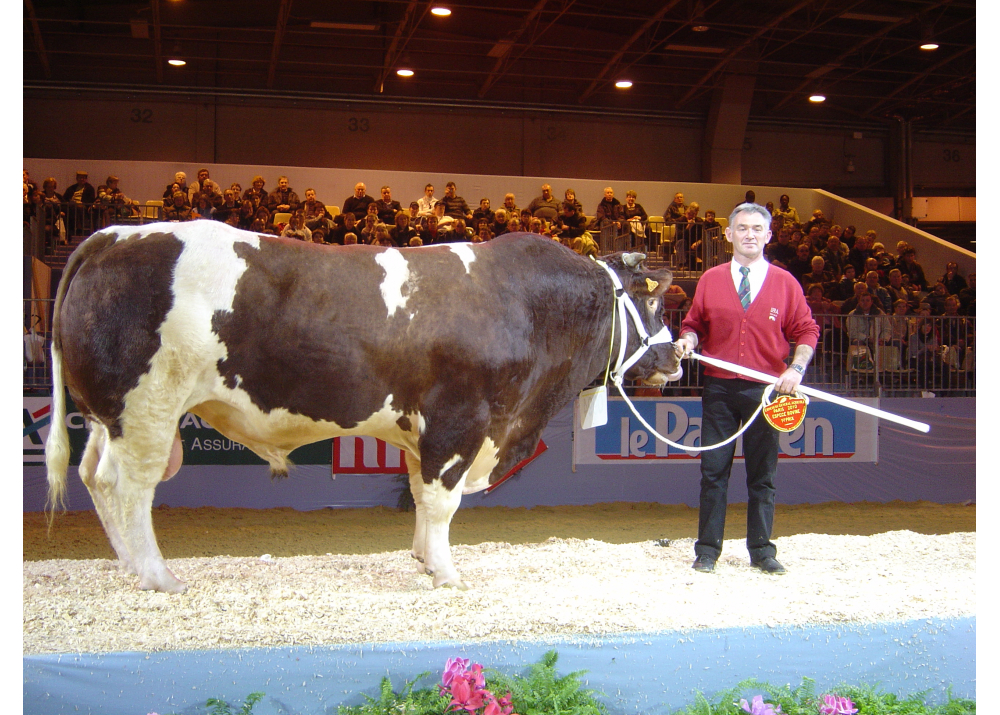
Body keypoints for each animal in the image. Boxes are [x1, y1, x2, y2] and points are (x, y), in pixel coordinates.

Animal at [48, 224, 688, 592]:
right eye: (657, 306)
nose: (679, 355)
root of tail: (113, 235)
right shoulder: (461, 419)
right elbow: (442, 499)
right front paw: (447, 574)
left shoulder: (424, 428)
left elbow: (421, 495)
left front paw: (424, 559)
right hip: (148, 406)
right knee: (130, 486)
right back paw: (159, 576)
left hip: (108, 416)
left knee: (94, 476)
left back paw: (129, 565)